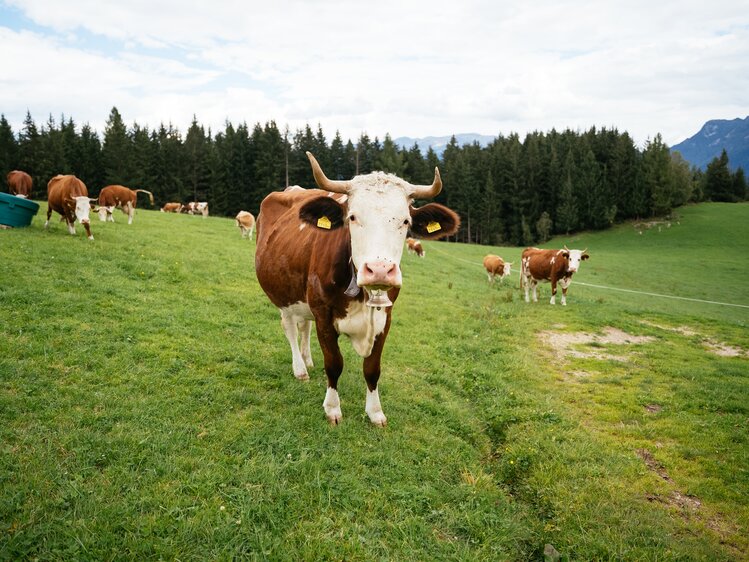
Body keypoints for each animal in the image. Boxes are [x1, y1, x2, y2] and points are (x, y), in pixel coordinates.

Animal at [254, 152, 458, 424]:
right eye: (352, 217)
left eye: (406, 221)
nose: (380, 270)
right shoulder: (324, 315)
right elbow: (334, 364)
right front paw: (332, 409)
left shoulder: (385, 318)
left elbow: (372, 369)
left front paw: (375, 412)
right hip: (282, 294)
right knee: (290, 328)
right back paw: (299, 368)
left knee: (304, 326)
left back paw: (307, 360)